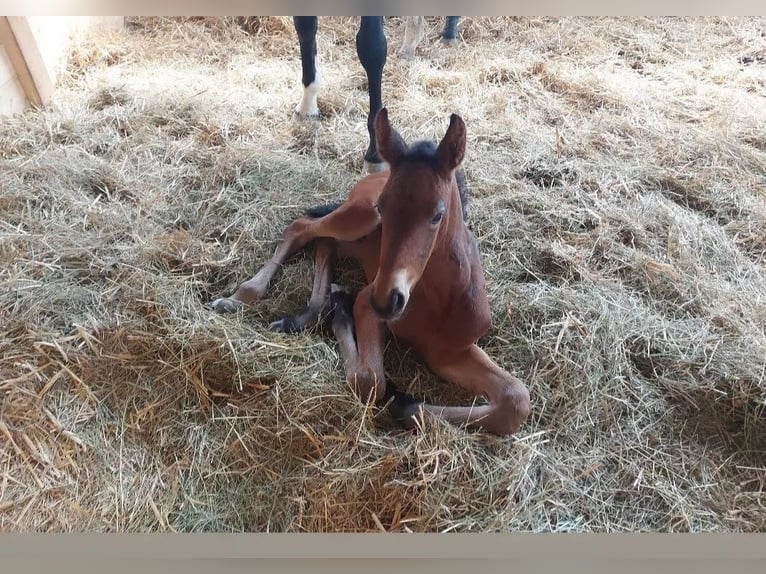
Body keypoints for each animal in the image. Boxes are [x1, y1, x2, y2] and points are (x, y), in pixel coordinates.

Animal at [213, 109, 532, 436]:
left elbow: (516, 400)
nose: (387, 301)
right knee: (301, 228)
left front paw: (407, 405)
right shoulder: (368, 300)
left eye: (437, 215)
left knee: (324, 244)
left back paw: (310, 313)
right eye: (383, 206)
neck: (437, 300)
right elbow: (369, 382)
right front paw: (394, 392)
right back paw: (240, 298)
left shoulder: (449, 351)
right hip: (358, 217)